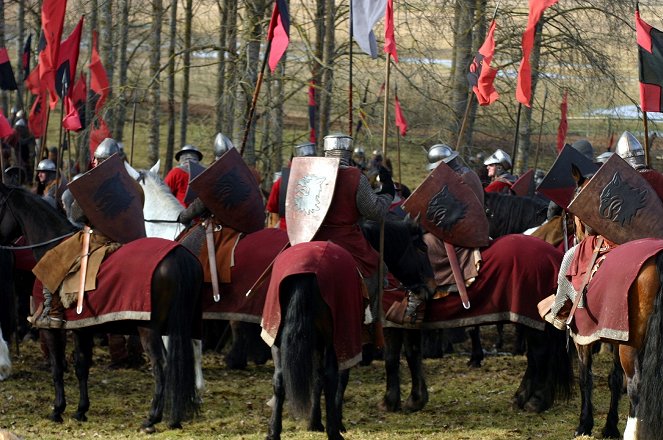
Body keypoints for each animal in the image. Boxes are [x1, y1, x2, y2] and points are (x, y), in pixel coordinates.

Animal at [0, 183, 202, 434]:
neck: (52, 246)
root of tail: (179, 255)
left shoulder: (50, 328)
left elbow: (57, 368)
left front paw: (58, 410)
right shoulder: (82, 327)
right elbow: (81, 366)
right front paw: (80, 411)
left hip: (149, 329)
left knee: (161, 365)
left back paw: (152, 419)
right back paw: (175, 418)